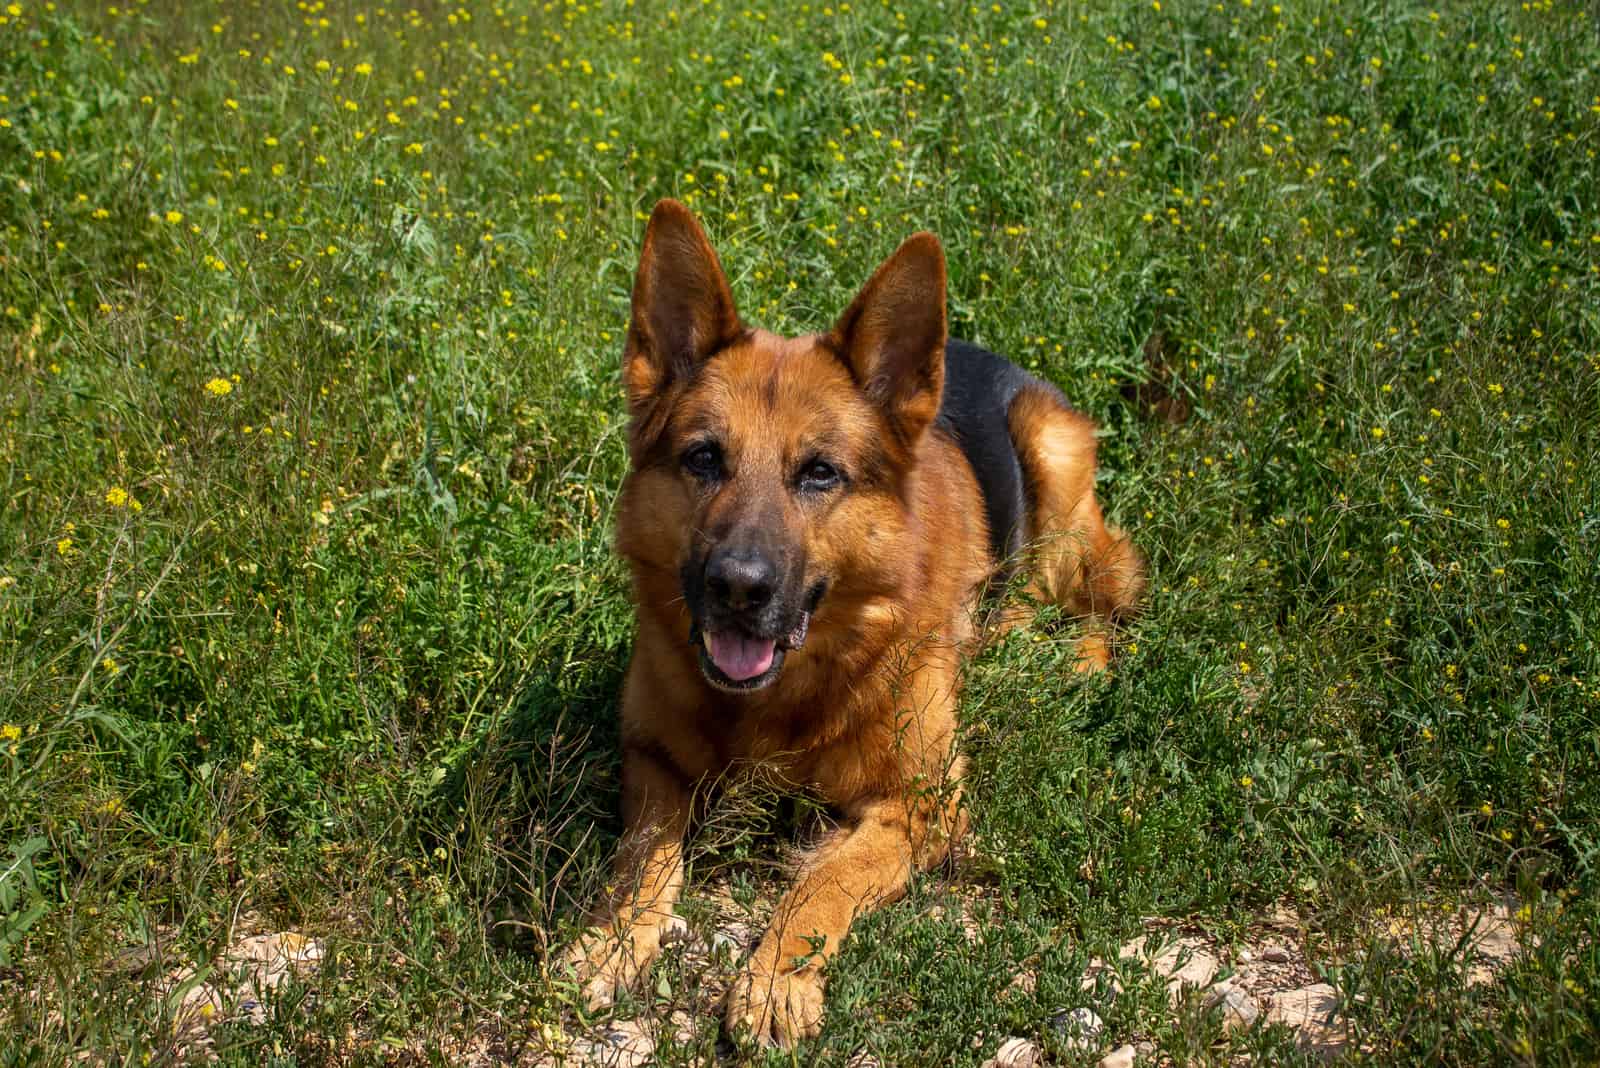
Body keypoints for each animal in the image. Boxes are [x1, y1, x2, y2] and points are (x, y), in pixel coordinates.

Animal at [569, 198, 1145, 1042]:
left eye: (819, 473)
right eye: (703, 458)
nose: (737, 587)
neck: (784, 700)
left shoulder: (920, 806)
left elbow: (827, 879)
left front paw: (777, 977)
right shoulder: (651, 760)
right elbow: (642, 858)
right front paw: (613, 939)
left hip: (1059, 483)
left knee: (1097, 602)